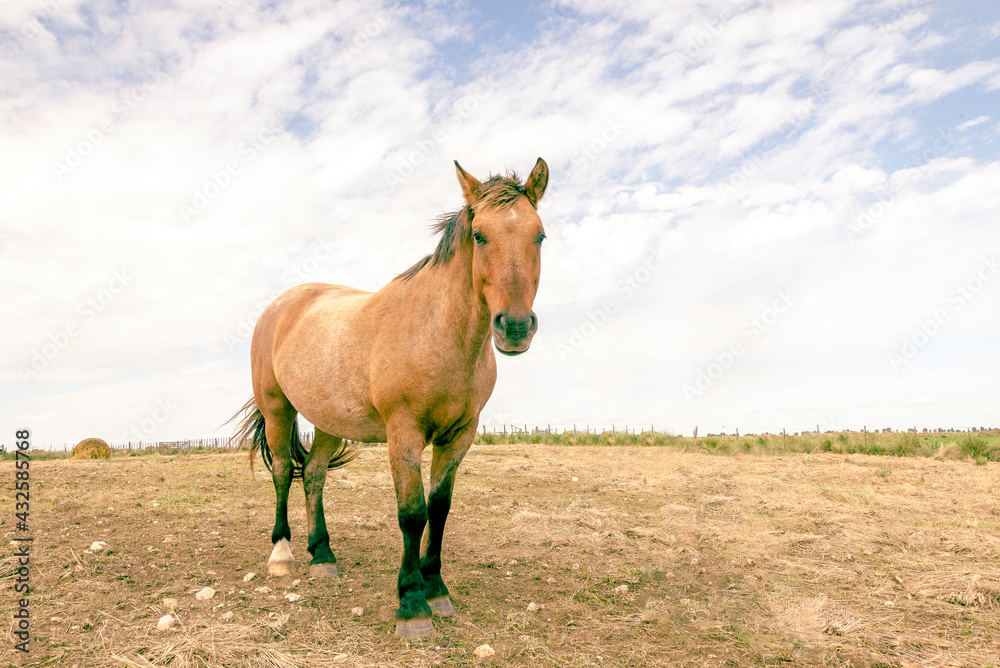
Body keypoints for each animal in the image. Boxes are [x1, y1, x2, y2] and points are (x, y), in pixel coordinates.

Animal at [230, 158, 548, 639]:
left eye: (540, 235)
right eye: (479, 235)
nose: (513, 327)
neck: (437, 330)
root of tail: (282, 305)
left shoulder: (460, 435)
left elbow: (439, 508)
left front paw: (437, 590)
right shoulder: (404, 433)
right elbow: (412, 514)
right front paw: (412, 604)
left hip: (329, 421)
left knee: (315, 476)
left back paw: (323, 556)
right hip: (277, 409)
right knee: (284, 472)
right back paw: (282, 554)